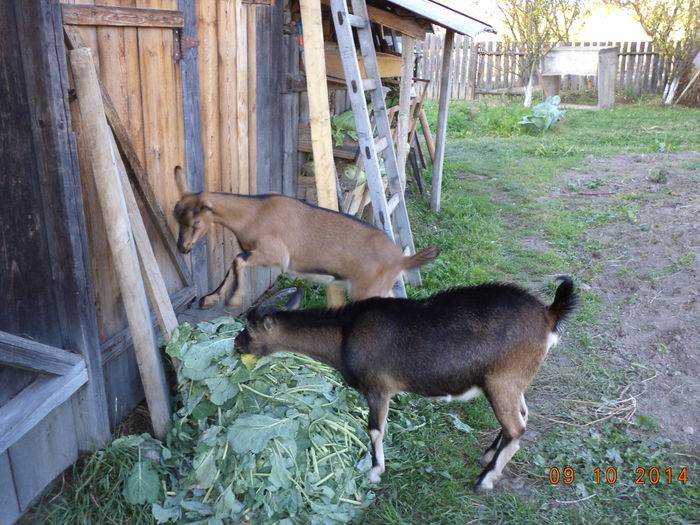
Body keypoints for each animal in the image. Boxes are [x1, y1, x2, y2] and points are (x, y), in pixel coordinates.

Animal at [172, 166, 438, 310]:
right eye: (176, 217)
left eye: (196, 222)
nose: (182, 248)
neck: (254, 213)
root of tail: (402, 260)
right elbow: (232, 265)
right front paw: (210, 299)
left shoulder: (276, 255)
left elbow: (237, 260)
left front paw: (233, 300)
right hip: (379, 288)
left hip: (367, 289)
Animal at [235, 276, 576, 490]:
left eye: (250, 329)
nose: (237, 345)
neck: (345, 333)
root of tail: (549, 314)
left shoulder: (377, 388)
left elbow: (374, 429)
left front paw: (375, 472)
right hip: (513, 382)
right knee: (520, 418)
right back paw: (489, 455)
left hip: (502, 381)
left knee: (517, 428)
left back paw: (484, 480)